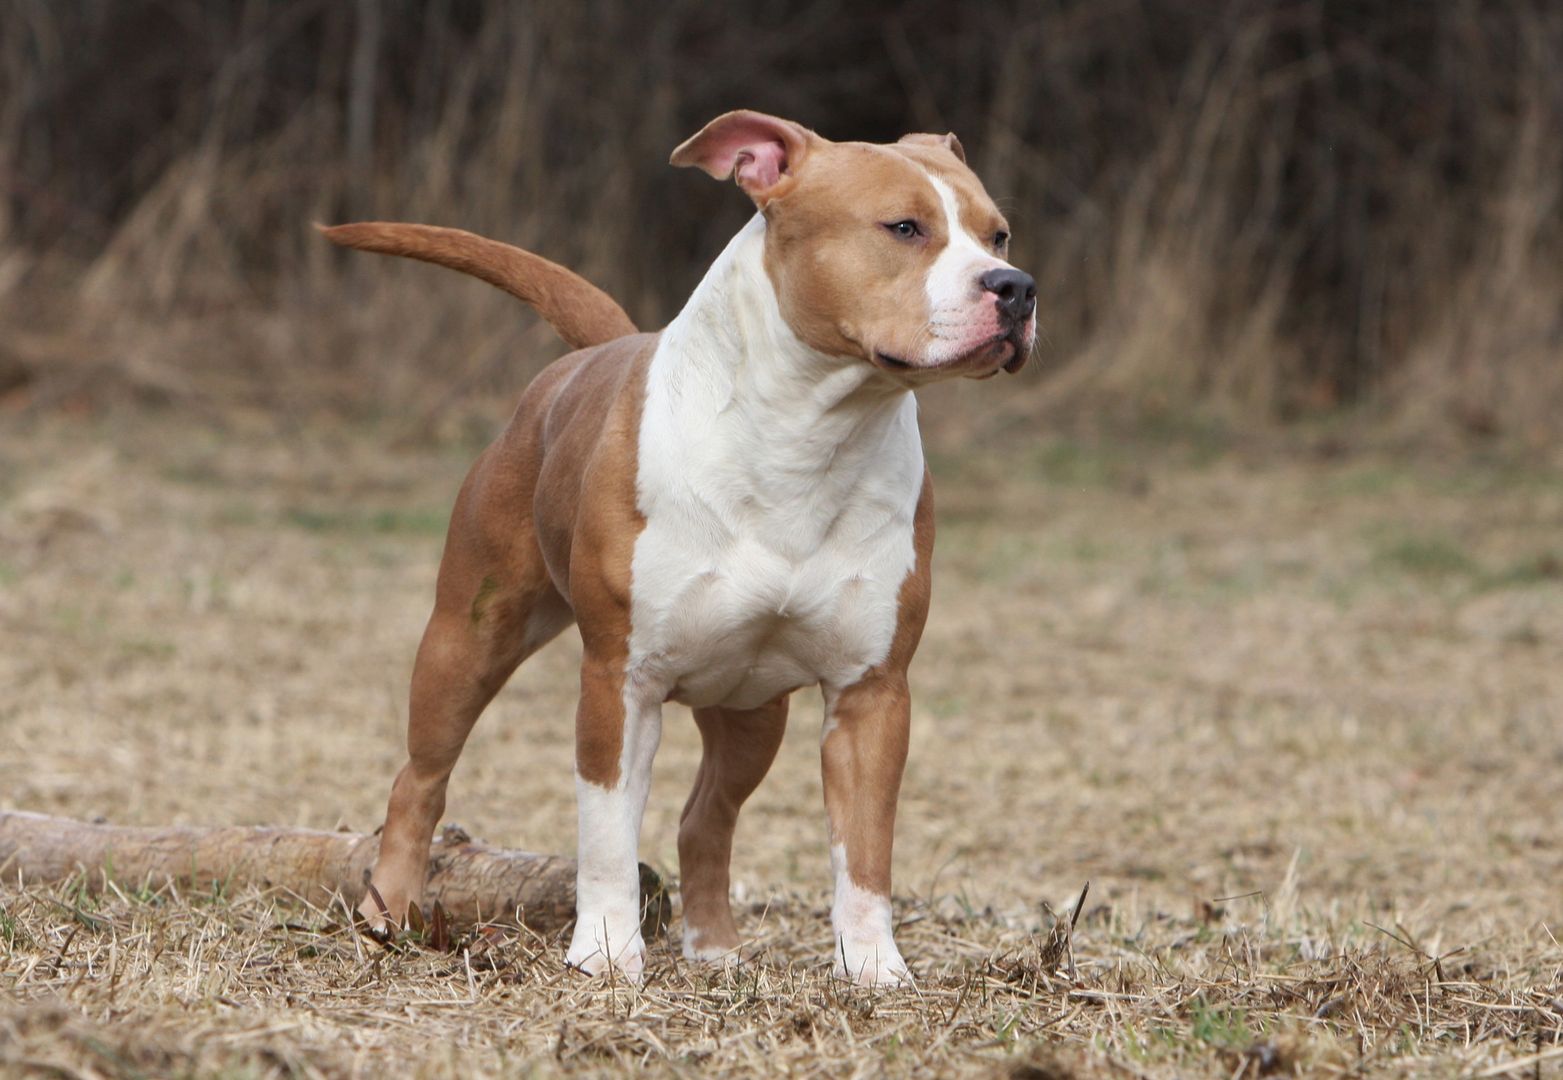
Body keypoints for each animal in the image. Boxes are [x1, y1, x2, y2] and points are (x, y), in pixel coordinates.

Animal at [326, 111, 1037, 987]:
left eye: (997, 233)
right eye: (903, 228)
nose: (1015, 286)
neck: (809, 434)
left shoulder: (871, 693)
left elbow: (864, 847)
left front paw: (874, 968)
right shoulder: (619, 683)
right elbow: (605, 831)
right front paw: (604, 953)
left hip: (750, 711)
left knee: (707, 816)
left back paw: (714, 948)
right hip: (468, 638)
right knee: (420, 777)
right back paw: (386, 911)